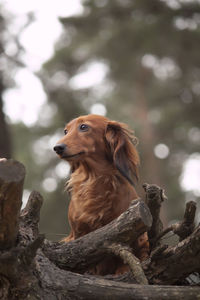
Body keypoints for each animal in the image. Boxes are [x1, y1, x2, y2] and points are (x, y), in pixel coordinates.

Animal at [54, 114, 149, 274]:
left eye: (83, 127)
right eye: (66, 131)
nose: (57, 148)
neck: (93, 179)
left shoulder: (122, 231)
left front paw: (122, 270)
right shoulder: (78, 234)